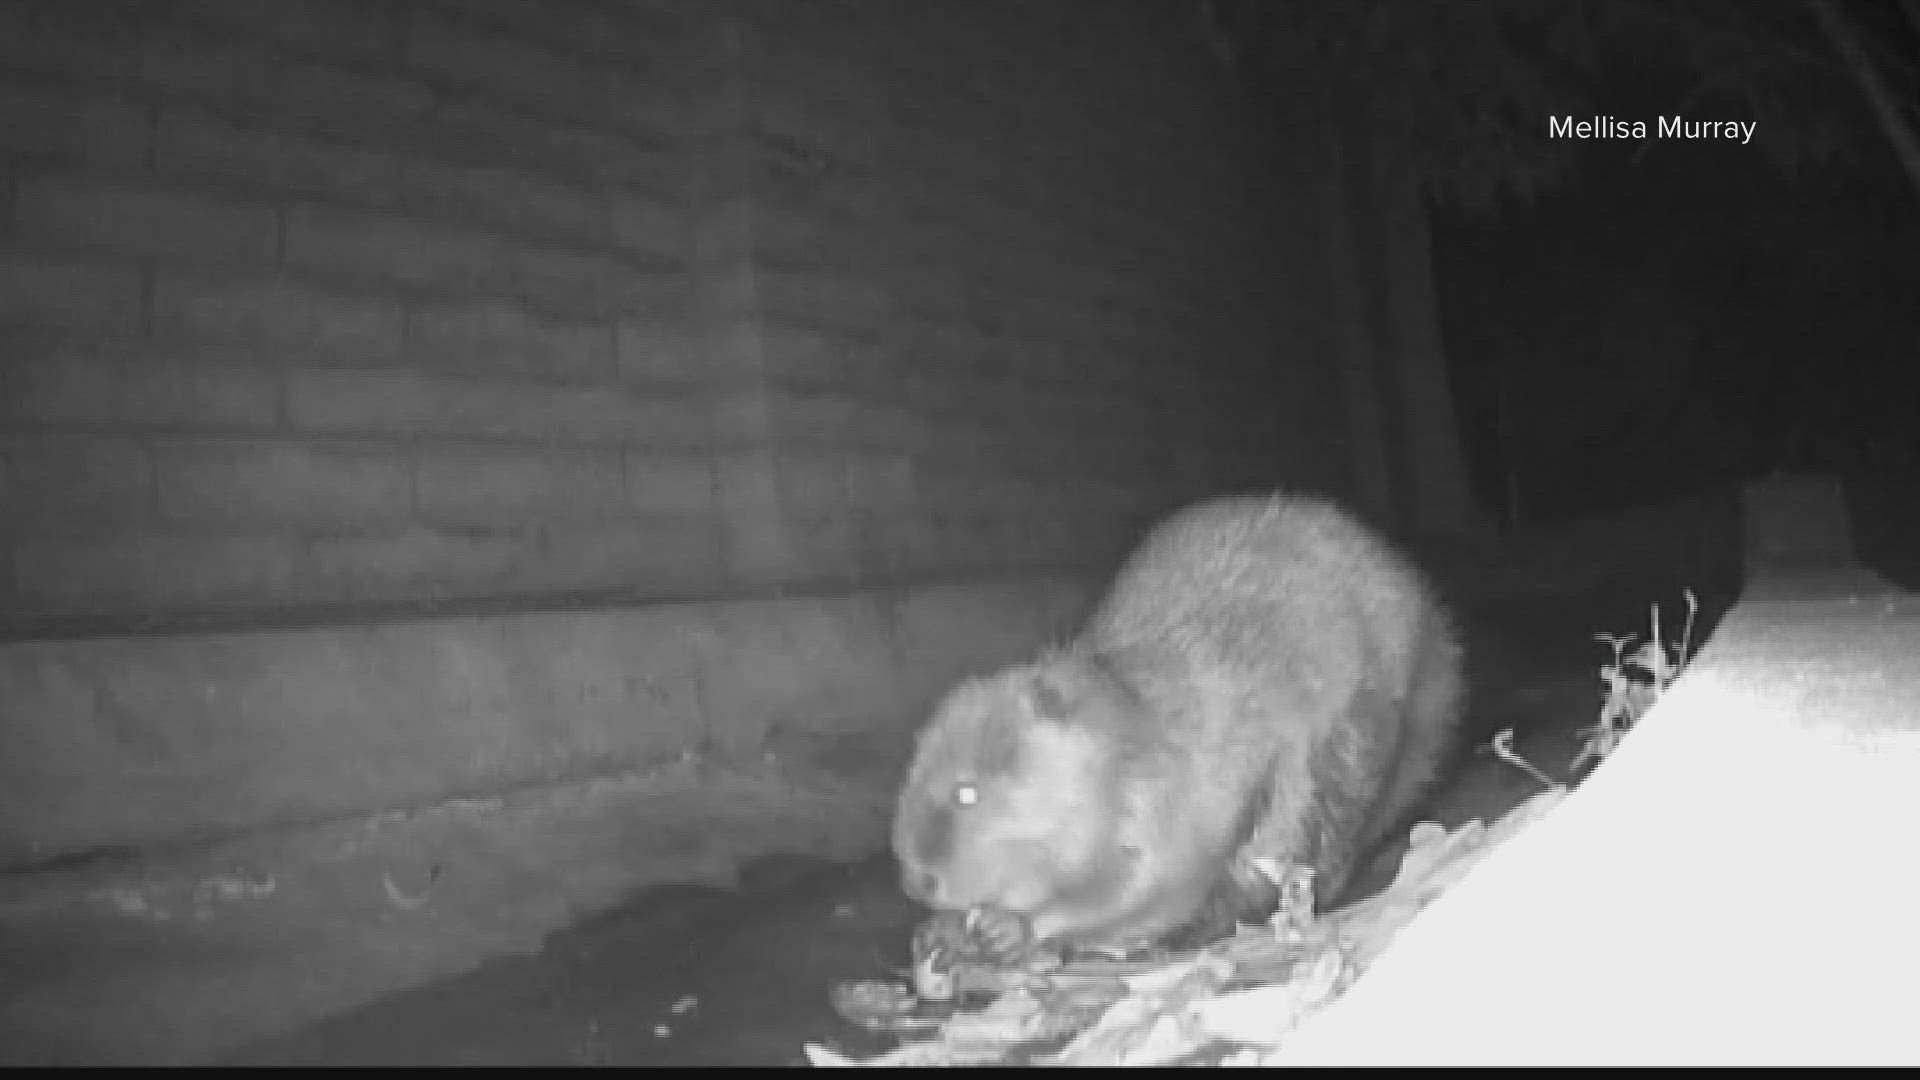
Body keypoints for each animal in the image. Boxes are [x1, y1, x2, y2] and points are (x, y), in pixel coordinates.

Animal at [890, 488, 1459, 949]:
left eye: (967, 792)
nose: (918, 883)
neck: (1133, 724)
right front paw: (940, 930)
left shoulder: (1180, 793)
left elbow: (1143, 886)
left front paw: (1008, 927)